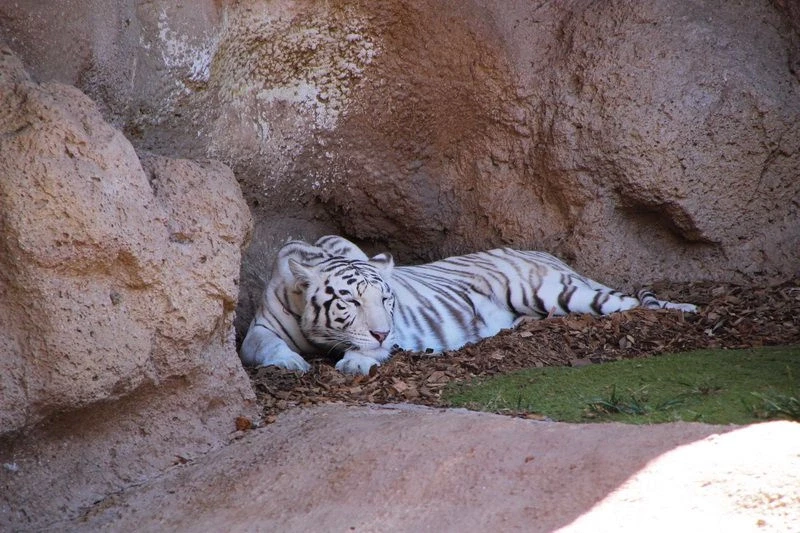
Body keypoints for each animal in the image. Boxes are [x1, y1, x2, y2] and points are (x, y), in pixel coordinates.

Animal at [240, 235, 697, 375]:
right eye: (349, 300)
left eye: (387, 300)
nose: (382, 331)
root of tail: (549, 255)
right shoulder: (258, 329)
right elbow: (262, 346)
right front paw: (290, 362)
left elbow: (366, 350)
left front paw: (354, 362)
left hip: (555, 291)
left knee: (631, 302)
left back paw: (688, 311)